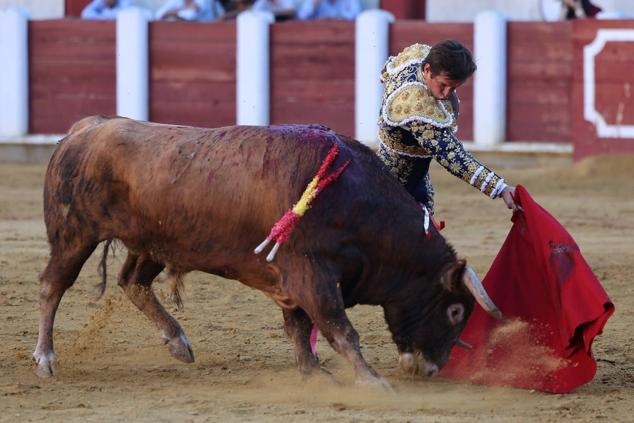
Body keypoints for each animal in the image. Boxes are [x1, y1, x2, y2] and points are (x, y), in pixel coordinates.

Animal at [34, 116, 502, 388]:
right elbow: (338, 328)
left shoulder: (291, 279)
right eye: (455, 311)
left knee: (132, 281)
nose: (432, 368)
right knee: (52, 286)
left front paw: (313, 373)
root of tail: (84, 129)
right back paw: (45, 359)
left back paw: (178, 343)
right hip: (74, 233)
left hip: (154, 242)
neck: (356, 202)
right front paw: (371, 382)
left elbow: (300, 327)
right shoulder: (310, 272)